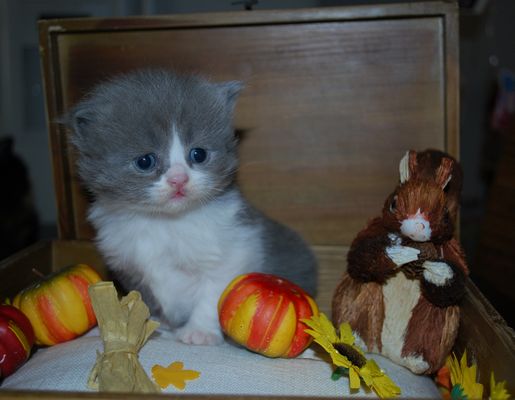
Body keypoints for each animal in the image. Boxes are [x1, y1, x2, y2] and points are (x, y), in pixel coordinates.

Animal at [67, 69, 318, 344]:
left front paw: (199, 332)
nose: (179, 179)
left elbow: (213, 293)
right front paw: (154, 324)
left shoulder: (236, 249)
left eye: (198, 154)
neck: (163, 222)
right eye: (145, 161)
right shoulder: (129, 265)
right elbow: (149, 298)